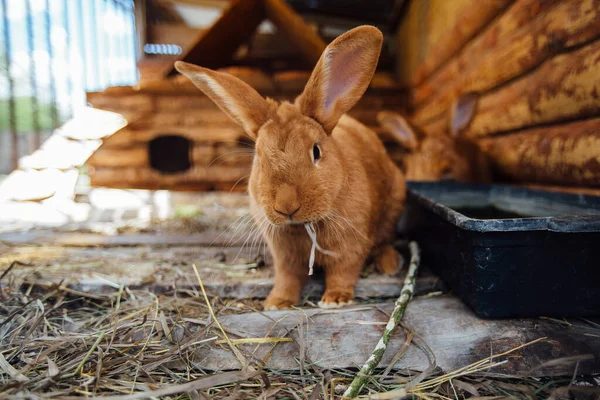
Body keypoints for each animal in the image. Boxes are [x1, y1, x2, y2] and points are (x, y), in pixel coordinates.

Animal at [176, 25, 406, 310]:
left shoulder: (350, 246)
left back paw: (390, 264)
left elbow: (343, 272)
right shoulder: (284, 255)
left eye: (316, 151)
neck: (303, 225)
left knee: (385, 240)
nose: (286, 206)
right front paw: (277, 302)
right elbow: (288, 277)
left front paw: (335, 300)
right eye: (259, 157)